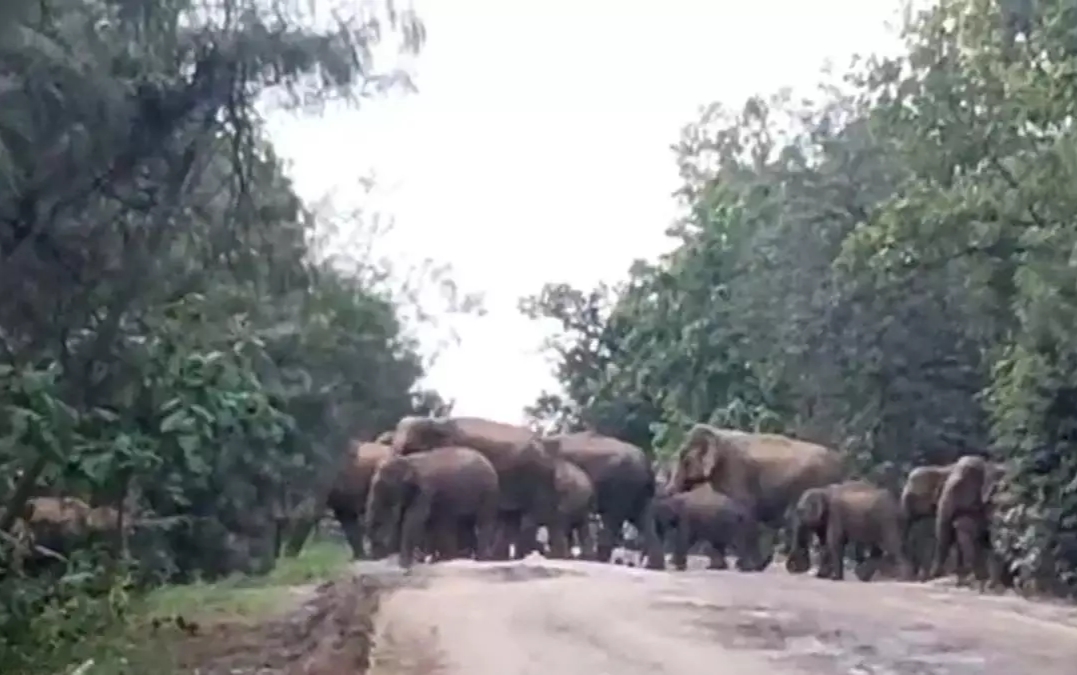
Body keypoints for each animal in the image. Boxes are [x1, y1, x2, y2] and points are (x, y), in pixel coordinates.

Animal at [365, 445, 500, 568]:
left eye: (382, 485)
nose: (373, 554)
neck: (408, 460)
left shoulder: (426, 489)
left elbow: (414, 519)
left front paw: (404, 564)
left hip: (488, 491)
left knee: (483, 520)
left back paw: (481, 559)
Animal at [539, 431, 664, 569]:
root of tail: (646, 464)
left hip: (622, 485)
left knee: (612, 519)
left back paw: (598, 559)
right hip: (639, 491)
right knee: (643, 520)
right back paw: (654, 566)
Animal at [668, 424, 845, 567]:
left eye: (685, 459)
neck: (718, 434)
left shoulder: (736, 472)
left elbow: (746, 511)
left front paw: (747, 566)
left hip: (811, 483)